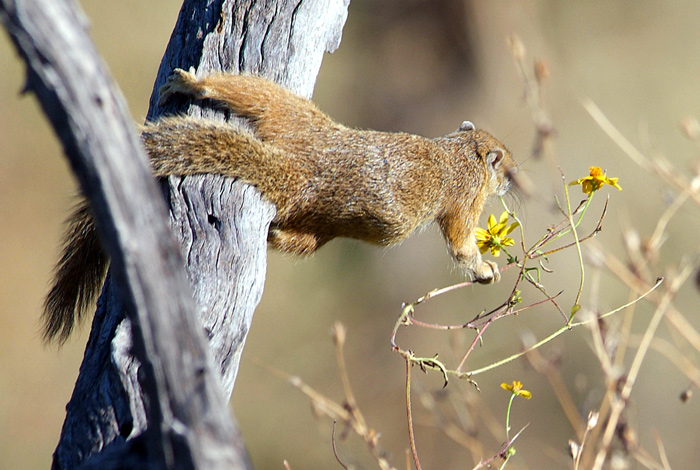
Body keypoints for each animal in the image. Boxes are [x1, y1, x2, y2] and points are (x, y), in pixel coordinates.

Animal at [42, 69, 516, 342]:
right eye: (506, 164)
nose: (513, 181)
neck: (461, 152)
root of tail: (300, 168)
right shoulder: (466, 198)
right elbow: (460, 243)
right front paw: (484, 270)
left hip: (294, 125)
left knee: (258, 100)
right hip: (302, 144)